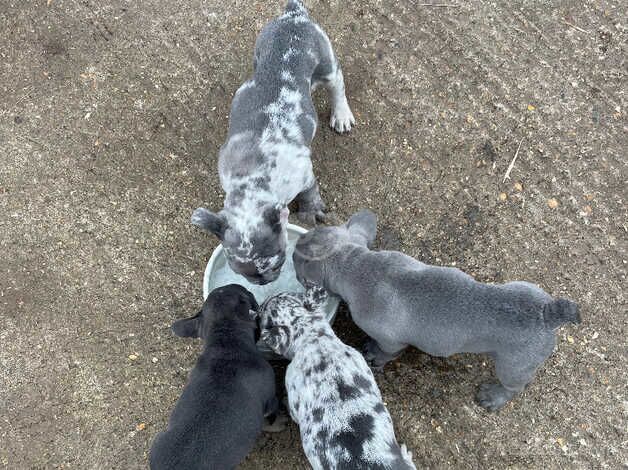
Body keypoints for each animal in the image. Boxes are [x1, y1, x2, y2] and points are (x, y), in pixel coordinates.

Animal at [191, 0, 356, 284]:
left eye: (278, 258)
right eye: (238, 270)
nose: (264, 280)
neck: (253, 182)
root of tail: (294, 15)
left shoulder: (304, 174)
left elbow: (311, 192)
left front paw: (311, 211)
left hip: (326, 63)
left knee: (338, 83)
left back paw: (342, 114)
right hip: (260, 50)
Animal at [292, 210, 580, 412]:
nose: (297, 242)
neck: (355, 263)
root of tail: (547, 314)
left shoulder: (390, 340)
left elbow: (386, 351)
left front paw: (374, 355)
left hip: (514, 364)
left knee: (514, 385)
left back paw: (494, 397)